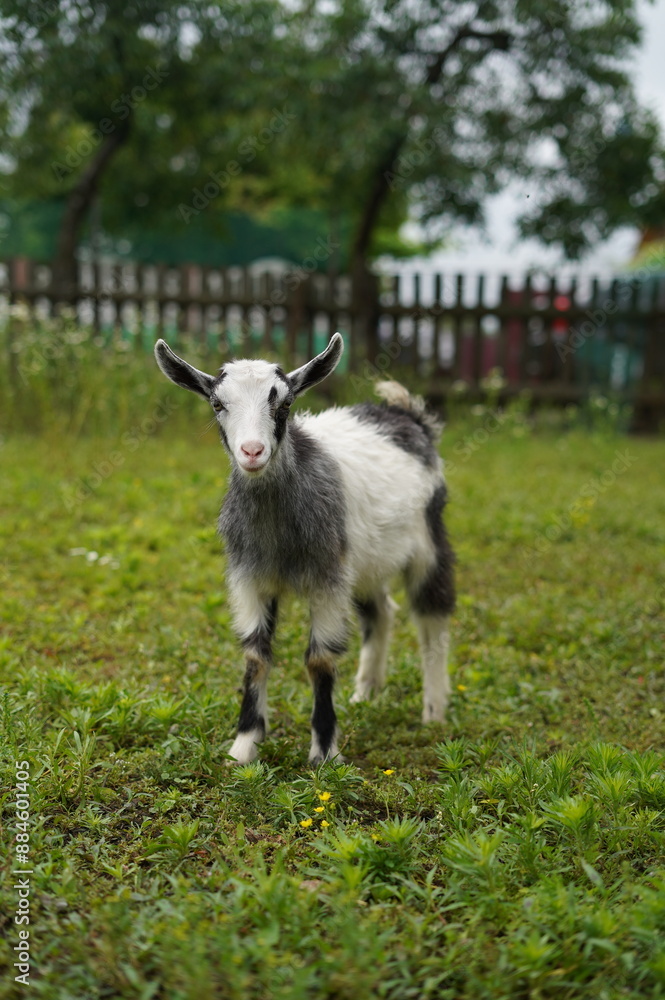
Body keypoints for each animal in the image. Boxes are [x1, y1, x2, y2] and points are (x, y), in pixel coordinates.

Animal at [154, 333, 455, 764]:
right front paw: (244, 746)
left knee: (433, 618)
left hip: (427, 540)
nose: (252, 451)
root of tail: (406, 414)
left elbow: (319, 658)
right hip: (363, 561)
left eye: (284, 403)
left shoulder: (326, 579)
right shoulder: (251, 578)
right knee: (381, 611)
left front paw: (324, 752)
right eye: (217, 404)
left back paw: (434, 710)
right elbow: (256, 654)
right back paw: (366, 693)